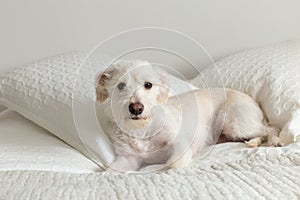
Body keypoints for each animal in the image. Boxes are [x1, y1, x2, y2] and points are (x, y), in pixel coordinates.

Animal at [95, 60, 282, 173]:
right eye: (121, 86)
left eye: (148, 85)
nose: (136, 108)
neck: (143, 129)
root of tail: (255, 102)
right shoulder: (129, 159)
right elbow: (110, 171)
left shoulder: (180, 144)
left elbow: (173, 165)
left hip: (235, 122)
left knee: (271, 128)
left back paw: (273, 141)